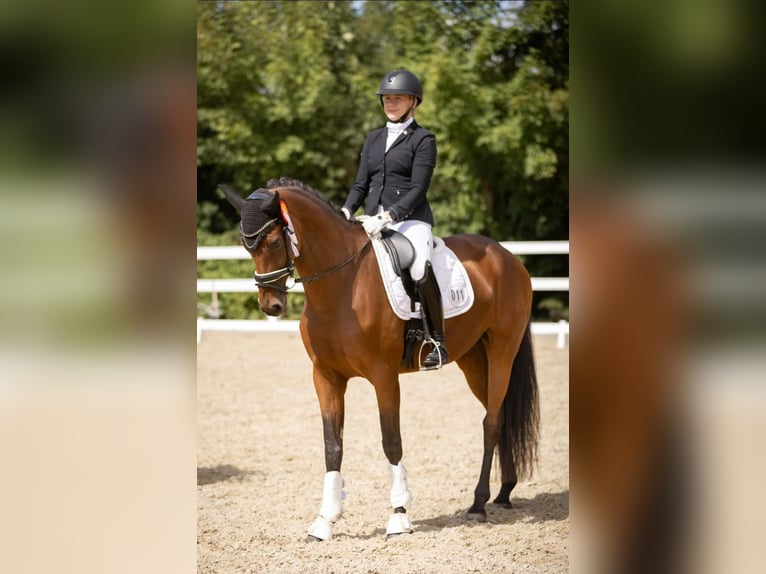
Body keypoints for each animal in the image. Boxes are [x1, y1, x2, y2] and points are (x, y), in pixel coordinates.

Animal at [221, 177, 539, 541]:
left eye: (274, 241)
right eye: (246, 246)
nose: (271, 305)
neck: (342, 284)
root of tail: (508, 257)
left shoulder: (384, 376)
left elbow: (391, 441)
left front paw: (399, 516)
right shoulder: (325, 377)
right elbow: (332, 446)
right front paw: (325, 521)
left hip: (502, 351)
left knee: (491, 422)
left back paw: (478, 503)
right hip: (473, 360)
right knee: (499, 415)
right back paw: (504, 493)